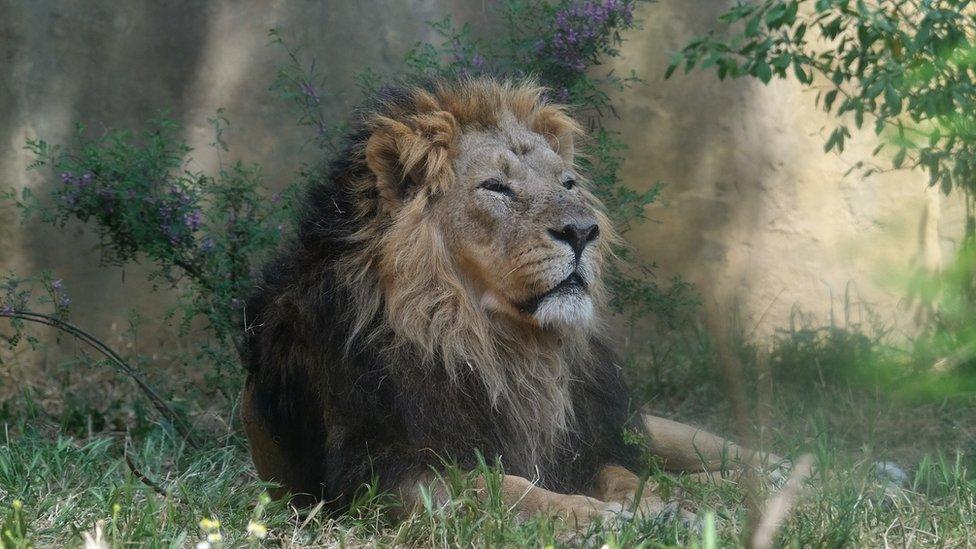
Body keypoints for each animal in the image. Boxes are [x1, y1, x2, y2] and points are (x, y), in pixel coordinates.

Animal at [242, 77, 776, 528]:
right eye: (496, 187)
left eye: (567, 184)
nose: (583, 231)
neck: (499, 348)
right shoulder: (375, 473)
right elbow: (496, 486)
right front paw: (590, 514)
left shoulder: (586, 442)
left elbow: (622, 473)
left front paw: (655, 504)